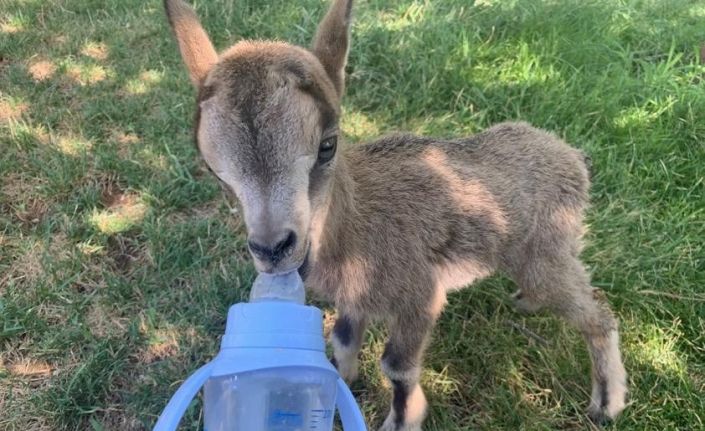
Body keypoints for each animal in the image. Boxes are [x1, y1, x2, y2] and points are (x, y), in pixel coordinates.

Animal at [165, 0, 628, 428]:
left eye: (327, 144)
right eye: (214, 168)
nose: (274, 249)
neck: (355, 231)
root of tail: (573, 161)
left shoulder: (419, 295)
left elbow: (397, 366)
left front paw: (400, 419)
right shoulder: (353, 298)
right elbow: (343, 338)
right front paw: (345, 381)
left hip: (547, 250)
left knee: (598, 315)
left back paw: (606, 403)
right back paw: (526, 302)